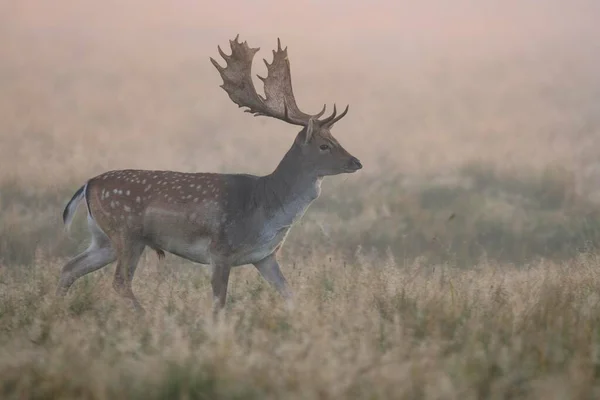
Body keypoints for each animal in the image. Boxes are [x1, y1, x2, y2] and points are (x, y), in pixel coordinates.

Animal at [57, 36, 360, 314]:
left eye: (336, 138)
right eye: (324, 145)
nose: (356, 161)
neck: (266, 207)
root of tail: (88, 184)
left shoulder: (264, 257)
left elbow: (289, 294)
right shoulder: (220, 250)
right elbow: (219, 303)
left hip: (104, 239)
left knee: (70, 266)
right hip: (127, 233)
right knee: (119, 281)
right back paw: (145, 316)